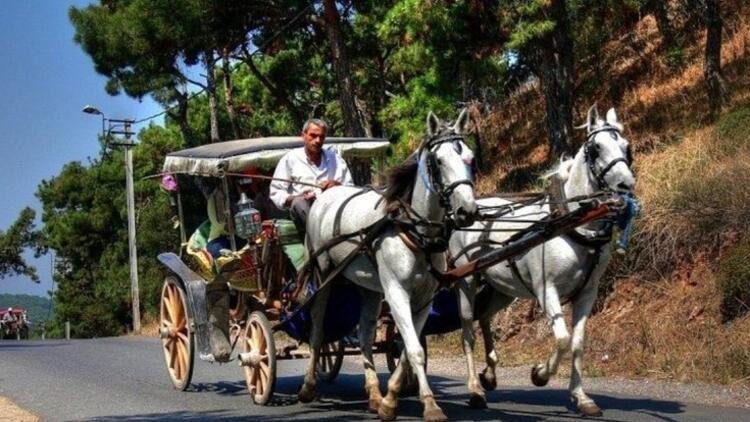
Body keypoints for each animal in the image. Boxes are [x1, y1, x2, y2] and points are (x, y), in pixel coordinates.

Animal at [300, 108, 478, 422]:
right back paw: (309, 386)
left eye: (469, 157)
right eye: (439, 161)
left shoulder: (423, 300)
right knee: (318, 330)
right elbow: (415, 350)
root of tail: (324, 195)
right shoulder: (396, 293)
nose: (466, 211)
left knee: (365, 335)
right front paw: (430, 406)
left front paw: (389, 400)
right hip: (323, 276)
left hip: (368, 288)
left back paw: (373, 394)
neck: (414, 230)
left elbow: (408, 349)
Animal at [449, 105, 636, 416]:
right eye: (596, 148)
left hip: (502, 288)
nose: (626, 185)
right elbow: (562, 339)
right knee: (467, 331)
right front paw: (540, 374)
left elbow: (578, 342)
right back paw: (475, 389)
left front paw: (581, 397)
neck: (572, 224)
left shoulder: (588, 292)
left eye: (625, 146)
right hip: (466, 280)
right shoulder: (547, 290)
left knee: (485, 317)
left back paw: (490, 374)